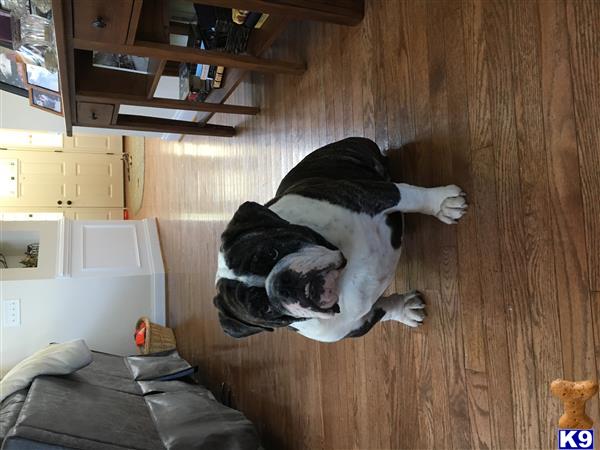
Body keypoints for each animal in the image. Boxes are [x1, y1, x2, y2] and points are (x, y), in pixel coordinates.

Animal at [216, 137, 468, 342]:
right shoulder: (356, 325)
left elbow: (410, 195)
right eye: (265, 309)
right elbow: (383, 311)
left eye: (271, 252)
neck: (342, 274)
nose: (281, 285)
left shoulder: (372, 195)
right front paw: (404, 309)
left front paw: (442, 203)